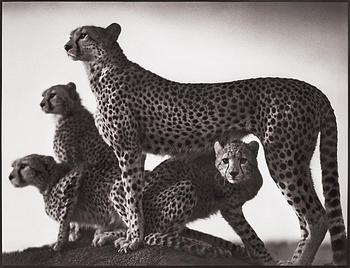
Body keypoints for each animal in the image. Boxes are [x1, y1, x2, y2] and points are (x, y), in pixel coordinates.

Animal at [65, 22, 348, 264]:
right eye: (71, 35)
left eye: (84, 35)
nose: (66, 46)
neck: (100, 69)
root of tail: (311, 88)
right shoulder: (132, 152)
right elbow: (129, 195)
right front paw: (128, 235)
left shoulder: (128, 148)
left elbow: (132, 196)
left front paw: (133, 240)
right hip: (299, 159)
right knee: (306, 216)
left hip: (282, 158)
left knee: (316, 216)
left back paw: (298, 261)